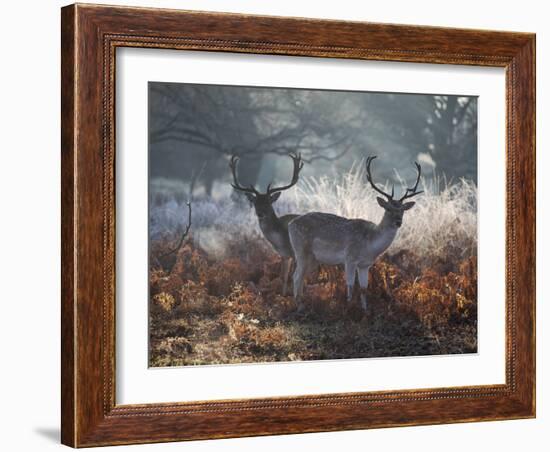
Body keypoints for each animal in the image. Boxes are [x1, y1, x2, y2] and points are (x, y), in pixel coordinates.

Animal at [230, 152, 306, 294]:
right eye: (255, 202)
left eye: (268, 202)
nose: (260, 213)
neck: (282, 239)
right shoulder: (284, 255)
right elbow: (284, 277)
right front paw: (283, 295)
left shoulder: (296, 253)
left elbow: (296, 277)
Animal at [288, 155, 422, 310]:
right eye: (388, 208)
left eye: (402, 210)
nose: (398, 222)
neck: (370, 246)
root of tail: (291, 224)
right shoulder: (349, 258)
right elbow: (350, 285)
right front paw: (348, 307)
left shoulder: (365, 264)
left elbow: (364, 288)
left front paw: (365, 310)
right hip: (301, 250)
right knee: (296, 276)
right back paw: (299, 306)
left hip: (312, 258)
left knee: (301, 277)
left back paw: (302, 303)